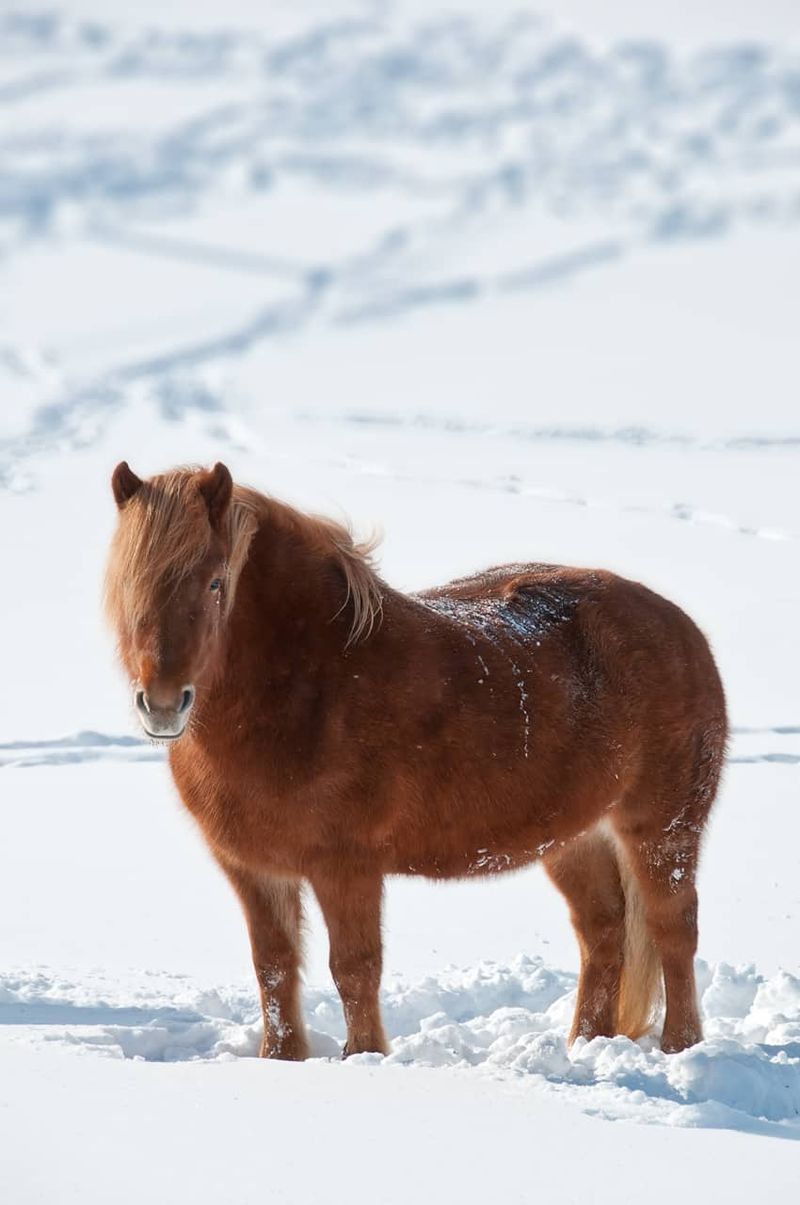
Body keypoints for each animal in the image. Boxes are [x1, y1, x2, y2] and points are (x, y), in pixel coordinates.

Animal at [104, 465, 722, 1060]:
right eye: (129, 583)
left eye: (215, 583)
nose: (162, 703)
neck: (311, 684)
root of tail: (681, 627)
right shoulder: (253, 869)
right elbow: (274, 969)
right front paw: (280, 1059)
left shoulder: (346, 866)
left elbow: (354, 969)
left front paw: (364, 1057)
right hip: (575, 837)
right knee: (604, 933)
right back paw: (585, 1046)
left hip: (661, 829)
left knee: (673, 929)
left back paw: (679, 1048)